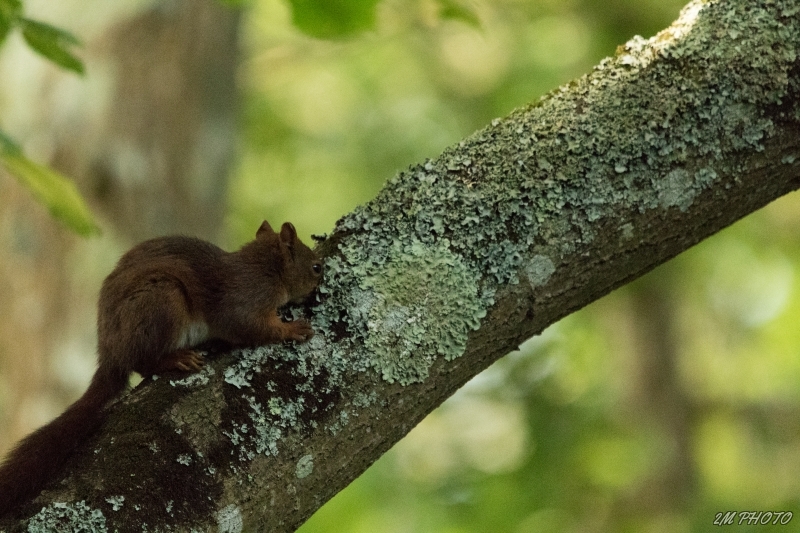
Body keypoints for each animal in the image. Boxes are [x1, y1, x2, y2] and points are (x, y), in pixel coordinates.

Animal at [0, 219, 322, 516]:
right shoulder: (246, 298)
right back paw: (175, 359)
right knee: (143, 363)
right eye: (316, 268)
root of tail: (110, 352)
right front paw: (292, 329)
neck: (265, 266)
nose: (319, 286)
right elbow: (249, 326)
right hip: (162, 299)